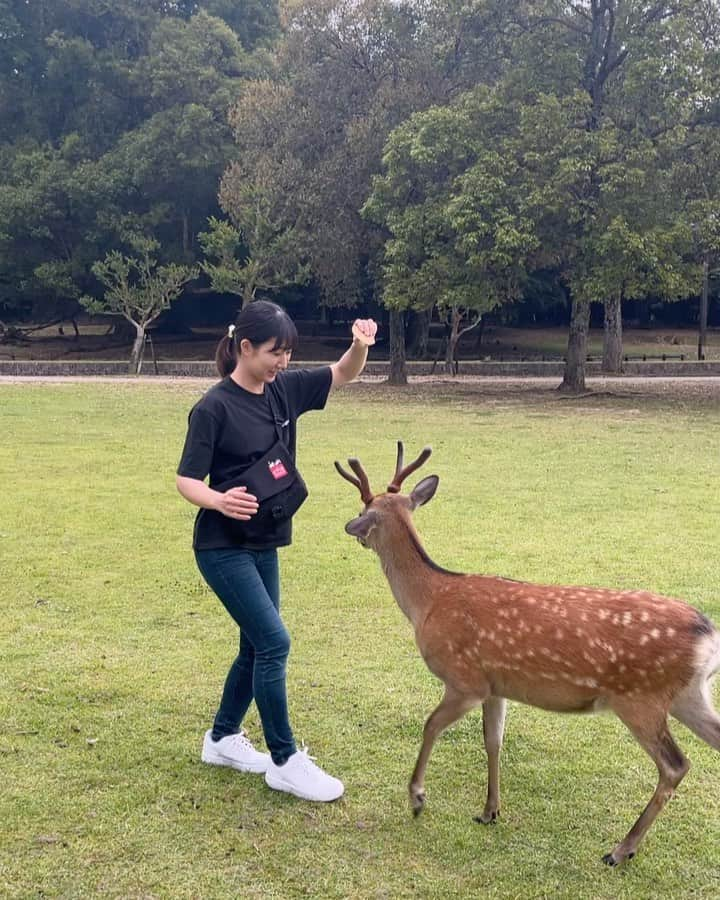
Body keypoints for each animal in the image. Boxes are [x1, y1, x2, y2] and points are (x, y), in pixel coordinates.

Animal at [334, 442, 720, 864]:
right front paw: (490, 810)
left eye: (362, 511)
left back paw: (621, 849)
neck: (428, 601)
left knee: (675, 766)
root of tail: (708, 636)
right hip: (687, 696)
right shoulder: (496, 686)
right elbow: (493, 740)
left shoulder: (464, 679)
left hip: (640, 700)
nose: (352, 530)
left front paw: (418, 798)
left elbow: (431, 725)